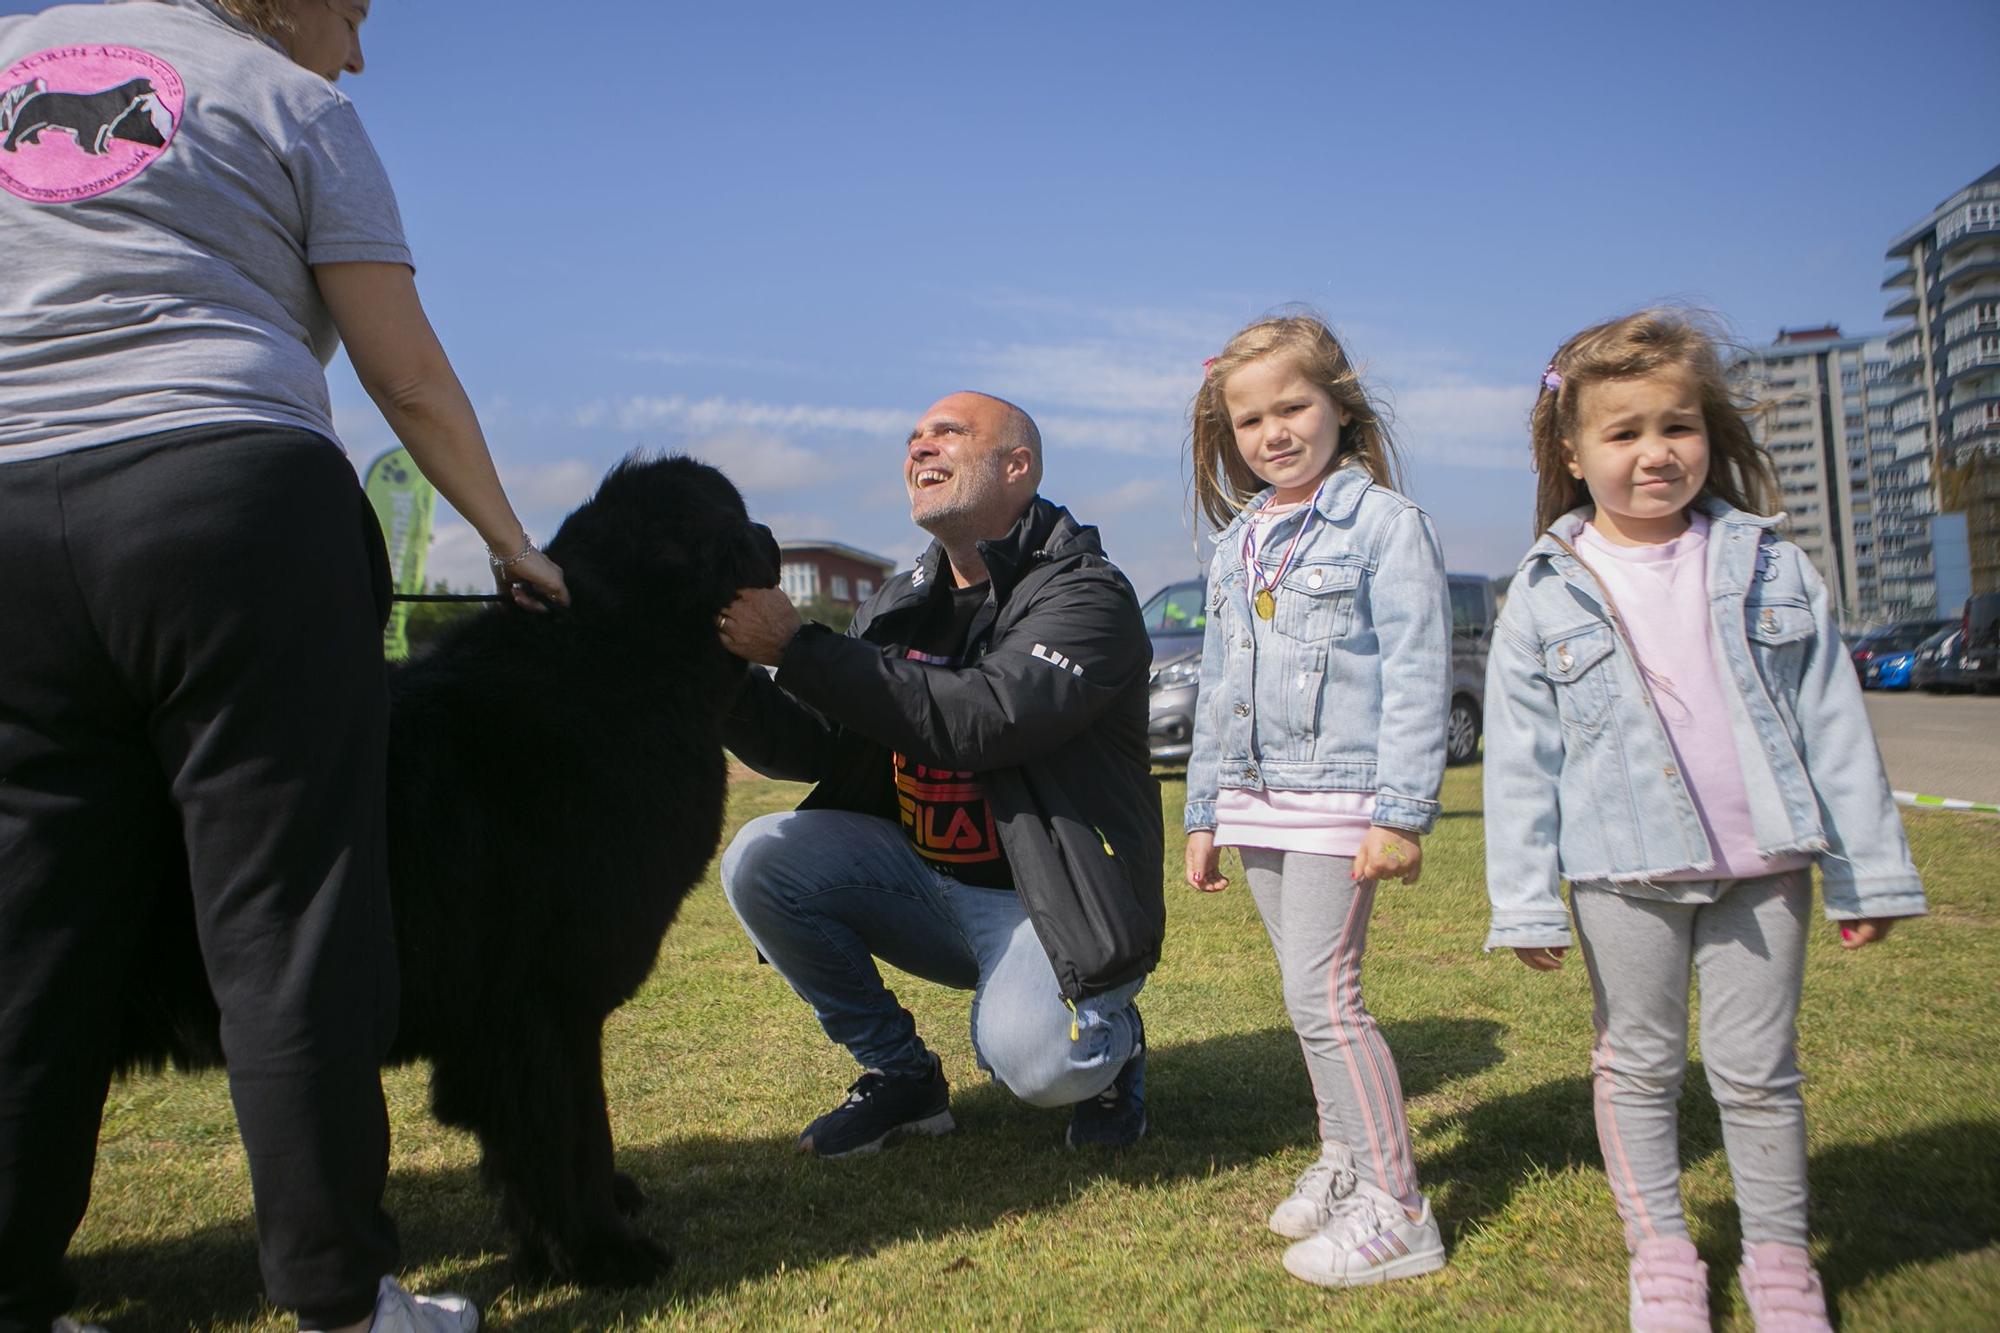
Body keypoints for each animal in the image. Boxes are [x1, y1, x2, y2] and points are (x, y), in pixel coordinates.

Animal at [111, 452, 780, 1280]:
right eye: (732, 516)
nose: (772, 536)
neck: (616, 664)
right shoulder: (539, 1005)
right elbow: (569, 1135)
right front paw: (604, 1253)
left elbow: (556, 1137)